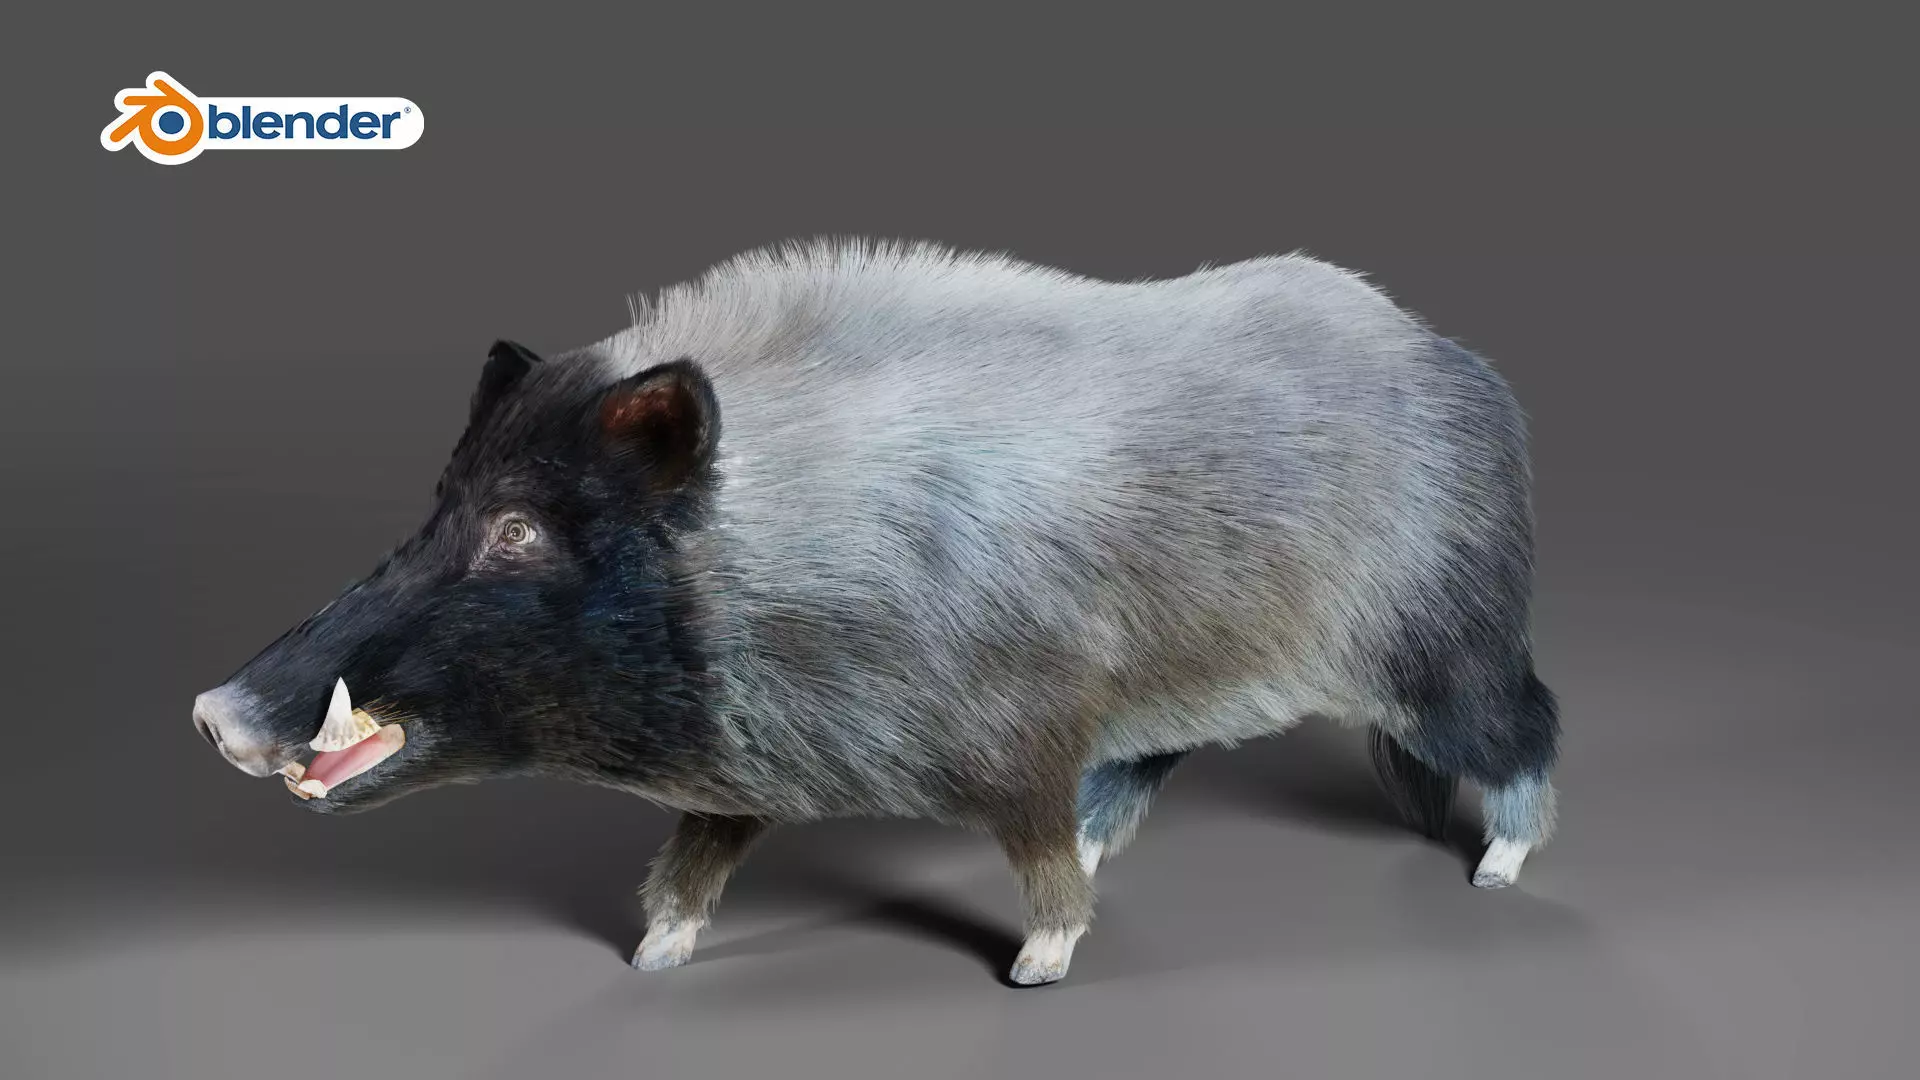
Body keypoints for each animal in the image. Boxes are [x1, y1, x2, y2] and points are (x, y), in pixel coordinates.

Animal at [192, 240, 1560, 985]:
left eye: (520, 529)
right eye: (439, 504)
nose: (212, 710)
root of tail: (1463, 368)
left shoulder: (1021, 739)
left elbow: (1036, 864)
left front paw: (1036, 970)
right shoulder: (745, 780)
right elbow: (689, 868)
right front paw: (653, 959)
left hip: (1440, 651)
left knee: (1533, 725)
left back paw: (1499, 871)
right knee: (1155, 762)